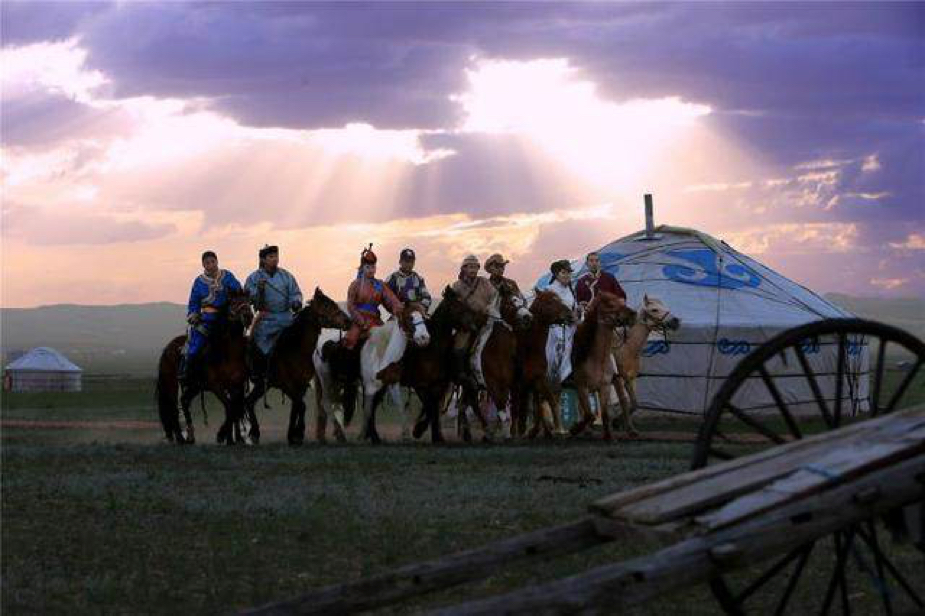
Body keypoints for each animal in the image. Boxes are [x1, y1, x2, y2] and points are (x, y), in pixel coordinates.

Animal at [156, 288, 253, 442]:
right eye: (233, 302)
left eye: (249, 301)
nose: (248, 316)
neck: (228, 352)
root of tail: (168, 348)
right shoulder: (216, 386)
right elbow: (229, 407)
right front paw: (224, 436)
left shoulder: (236, 385)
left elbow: (235, 409)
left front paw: (234, 438)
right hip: (171, 385)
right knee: (173, 408)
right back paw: (181, 438)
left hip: (194, 386)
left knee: (184, 401)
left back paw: (190, 436)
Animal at [244, 286, 352, 446]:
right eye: (327, 305)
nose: (348, 321)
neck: (296, 349)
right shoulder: (288, 385)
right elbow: (301, 406)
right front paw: (298, 433)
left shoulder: (300, 386)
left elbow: (296, 408)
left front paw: (293, 435)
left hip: (263, 385)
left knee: (249, 402)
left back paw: (254, 434)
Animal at [512, 290, 576, 438]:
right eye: (550, 302)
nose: (570, 315)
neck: (531, 349)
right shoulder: (525, 382)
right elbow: (527, 406)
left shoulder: (539, 380)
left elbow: (546, 401)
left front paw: (554, 429)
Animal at [564, 292, 636, 440]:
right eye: (611, 304)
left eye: (620, 301)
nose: (633, 314)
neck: (595, 358)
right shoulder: (581, 387)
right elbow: (589, 414)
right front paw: (574, 429)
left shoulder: (605, 386)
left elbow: (604, 413)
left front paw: (609, 436)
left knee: (624, 401)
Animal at [612, 294, 680, 436]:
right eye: (654, 309)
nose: (675, 321)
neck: (626, 348)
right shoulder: (618, 379)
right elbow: (624, 401)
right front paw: (629, 429)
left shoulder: (630, 379)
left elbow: (634, 403)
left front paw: (618, 422)